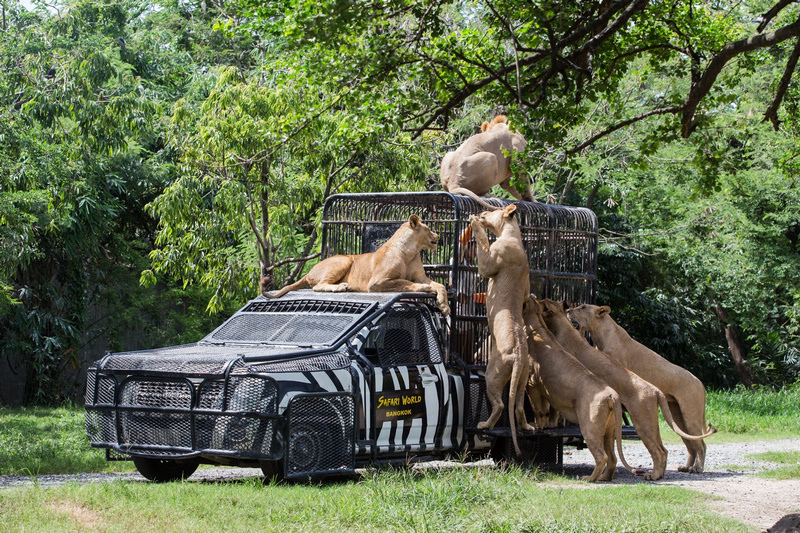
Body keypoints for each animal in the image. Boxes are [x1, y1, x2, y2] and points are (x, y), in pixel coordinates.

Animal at [262, 214, 450, 316]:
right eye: (428, 229)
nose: (438, 236)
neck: (411, 252)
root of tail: (309, 272)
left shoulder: (421, 276)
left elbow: (440, 285)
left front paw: (444, 306)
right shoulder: (377, 282)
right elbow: (405, 282)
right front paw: (423, 289)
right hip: (344, 260)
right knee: (318, 286)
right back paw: (341, 287)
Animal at [468, 204, 532, 458]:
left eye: (493, 210)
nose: (482, 213)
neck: (513, 234)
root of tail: (519, 352)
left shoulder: (490, 262)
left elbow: (484, 254)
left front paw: (475, 223)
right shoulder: (526, 287)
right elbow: (526, 296)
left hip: (493, 374)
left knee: (501, 404)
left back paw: (484, 425)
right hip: (523, 376)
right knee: (518, 405)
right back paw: (527, 427)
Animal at [520, 298, 636, 480]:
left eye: (543, 303)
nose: (531, 296)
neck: (539, 328)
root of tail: (612, 395)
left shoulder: (533, 384)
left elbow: (539, 410)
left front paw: (537, 426)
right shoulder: (548, 390)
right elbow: (549, 411)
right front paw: (547, 425)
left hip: (590, 427)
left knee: (601, 456)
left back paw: (590, 479)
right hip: (609, 432)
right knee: (612, 458)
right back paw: (604, 477)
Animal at [540, 298, 716, 480]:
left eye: (582, 307)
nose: (568, 310)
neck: (601, 333)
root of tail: (700, 382)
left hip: (690, 415)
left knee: (700, 444)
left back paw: (695, 468)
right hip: (677, 415)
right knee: (690, 444)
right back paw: (686, 467)